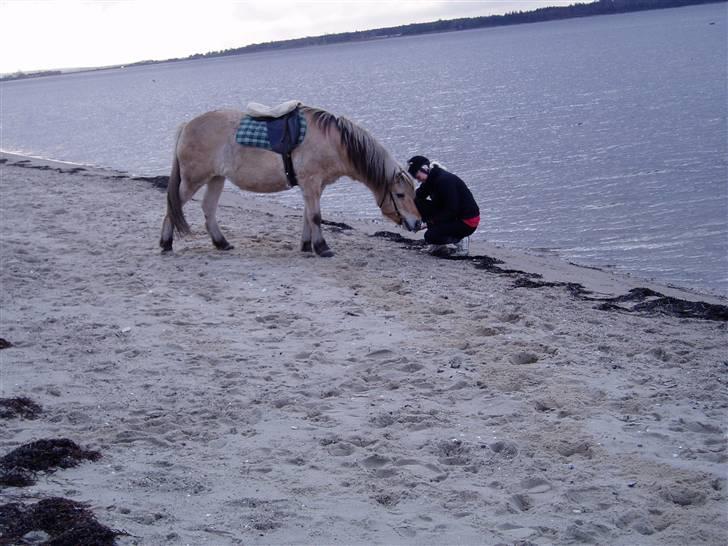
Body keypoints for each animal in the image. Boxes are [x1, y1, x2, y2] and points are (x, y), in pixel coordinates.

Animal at [159, 104, 420, 255]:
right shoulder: (311, 183)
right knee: (173, 206)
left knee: (208, 209)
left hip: (216, 178)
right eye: (400, 195)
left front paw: (306, 246)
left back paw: (221, 243)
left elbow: (308, 216)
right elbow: (315, 216)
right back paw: (166, 243)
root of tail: (187, 126)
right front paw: (323, 248)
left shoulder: (314, 186)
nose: (418, 223)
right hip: (194, 180)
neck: (332, 141)